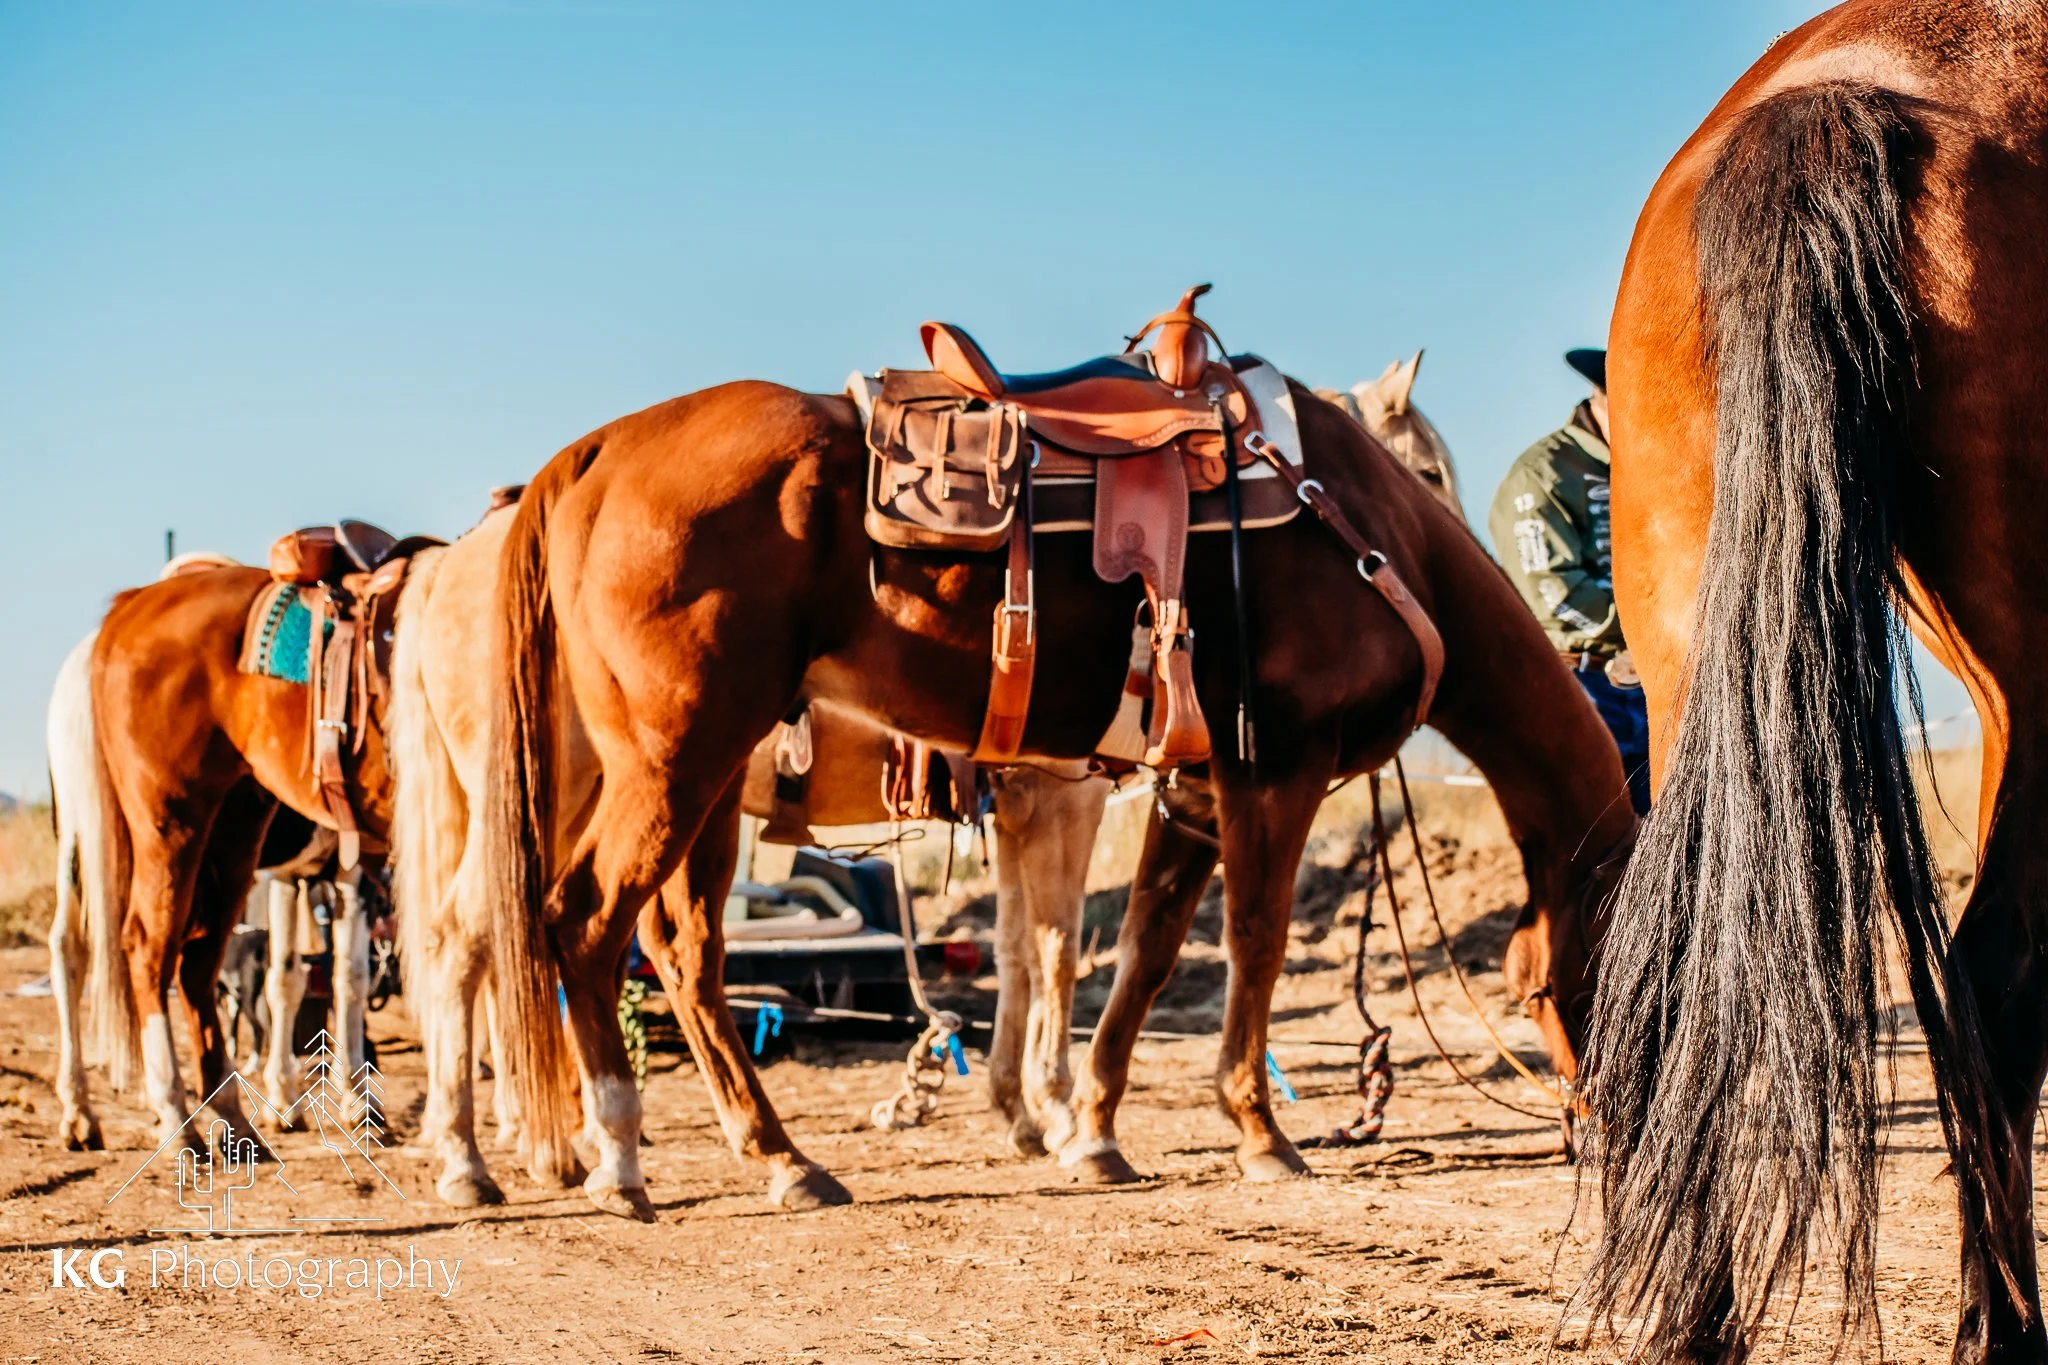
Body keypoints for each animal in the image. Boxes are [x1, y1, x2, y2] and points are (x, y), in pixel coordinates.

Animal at [388, 504, 1112, 1208]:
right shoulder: (1065, 794)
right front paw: (1066, 1118)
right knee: (467, 941)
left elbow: (1015, 952)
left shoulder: (1019, 809)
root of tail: (449, 563)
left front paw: (1021, 1113)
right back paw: (473, 1159)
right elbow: (1057, 952)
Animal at [473, 321, 1636, 1219]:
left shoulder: (1192, 790)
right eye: (1579, 978)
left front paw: (1091, 1129)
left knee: (677, 951)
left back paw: (776, 1158)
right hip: (672, 760)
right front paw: (1258, 1134)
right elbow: (1238, 947)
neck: (1367, 535)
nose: (1596, 1123)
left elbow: (1140, 954)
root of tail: (589, 455)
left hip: (697, 782)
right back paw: (615, 1157)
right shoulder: (1270, 771)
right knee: (580, 923)